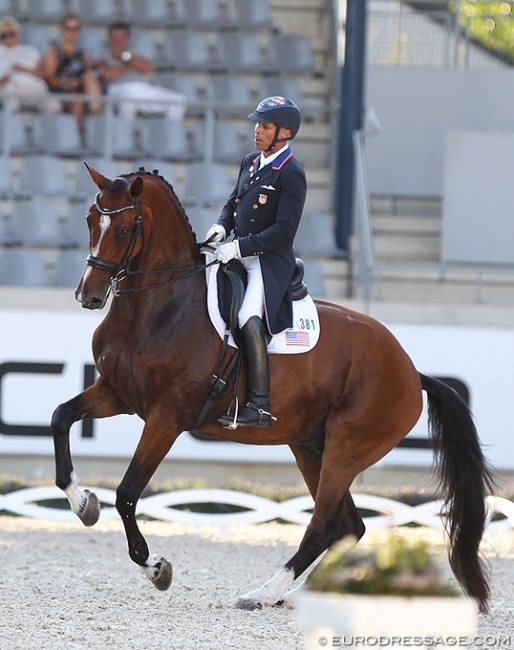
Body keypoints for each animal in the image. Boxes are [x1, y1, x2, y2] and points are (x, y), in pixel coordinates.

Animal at [51, 165, 492, 612]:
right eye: (90, 220)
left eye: (124, 230)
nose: (88, 296)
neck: (160, 305)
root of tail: (410, 370)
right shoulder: (116, 394)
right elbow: (61, 418)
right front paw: (84, 505)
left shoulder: (166, 417)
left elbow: (126, 493)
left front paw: (156, 567)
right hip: (311, 446)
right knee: (348, 526)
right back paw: (302, 596)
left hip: (346, 449)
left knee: (323, 525)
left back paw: (262, 593)